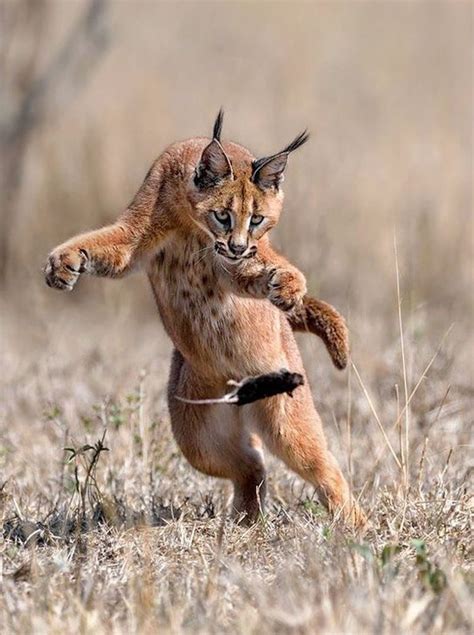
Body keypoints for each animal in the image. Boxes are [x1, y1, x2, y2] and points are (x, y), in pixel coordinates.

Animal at [44, 110, 364, 528]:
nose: (239, 245)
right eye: (222, 215)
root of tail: (241, 388)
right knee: (252, 466)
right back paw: (245, 521)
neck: (189, 221)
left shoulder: (236, 267)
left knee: (322, 465)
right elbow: (101, 243)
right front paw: (63, 262)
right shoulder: (133, 237)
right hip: (196, 436)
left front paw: (288, 283)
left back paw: (356, 524)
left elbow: (261, 268)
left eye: (258, 219)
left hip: (286, 418)